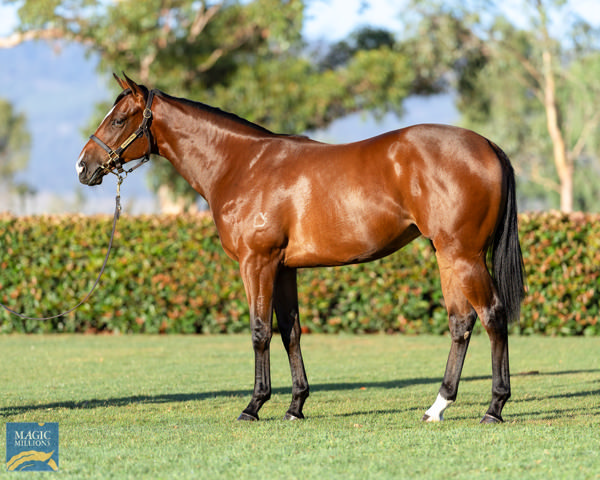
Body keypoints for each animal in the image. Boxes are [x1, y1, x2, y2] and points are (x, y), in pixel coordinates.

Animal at [76, 75, 524, 424]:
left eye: (118, 119)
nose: (83, 167)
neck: (243, 165)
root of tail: (487, 146)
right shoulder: (284, 268)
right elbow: (290, 332)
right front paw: (295, 406)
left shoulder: (256, 263)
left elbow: (260, 331)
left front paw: (253, 406)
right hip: (446, 255)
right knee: (461, 322)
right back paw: (438, 406)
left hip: (463, 255)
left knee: (492, 315)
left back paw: (494, 407)